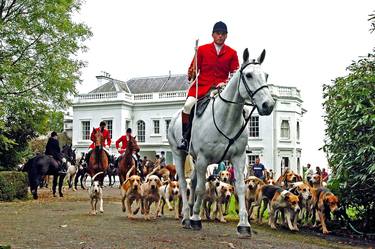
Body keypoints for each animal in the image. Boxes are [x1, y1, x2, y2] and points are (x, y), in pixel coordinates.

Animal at [169, 48, 274, 237]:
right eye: (248, 75)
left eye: (266, 75)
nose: (268, 105)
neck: (226, 117)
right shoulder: (204, 159)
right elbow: (201, 189)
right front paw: (196, 219)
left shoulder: (238, 158)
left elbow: (240, 187)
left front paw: (244, 224)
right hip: (179, 153)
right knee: (183, 183)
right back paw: (187, 217)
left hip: (195, 159)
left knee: (193, 181)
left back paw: (190, 210)